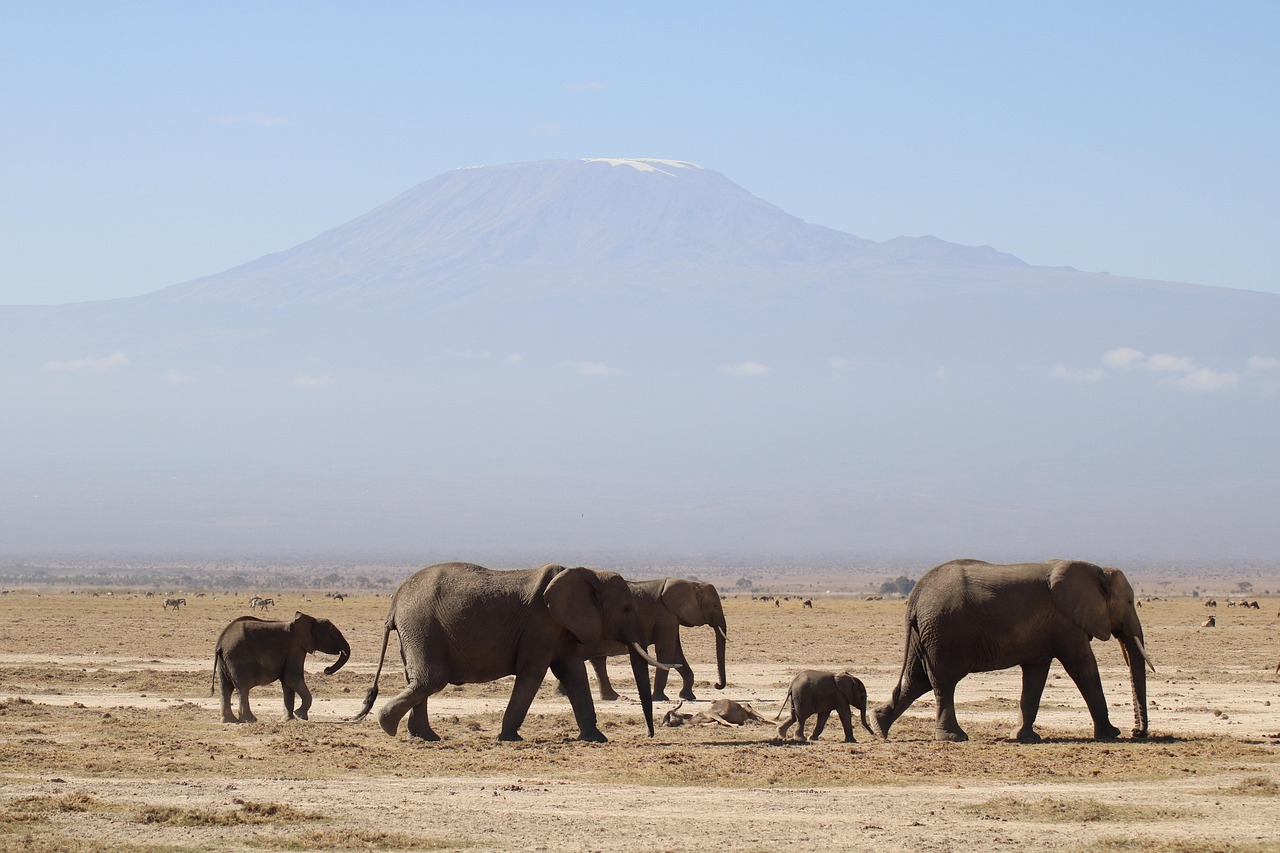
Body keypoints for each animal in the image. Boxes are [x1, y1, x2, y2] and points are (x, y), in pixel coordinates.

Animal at [212, 612, 351, 723]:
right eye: (331, 635)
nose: (326, 669)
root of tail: (220, 643)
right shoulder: (295, 648)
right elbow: (292, 679)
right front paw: (300, 715)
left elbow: (287, 683)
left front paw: (289, 719)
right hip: (238, 657)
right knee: (243, 688)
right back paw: (250, 720)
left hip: (224, 661)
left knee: (225, 688)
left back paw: (229, 721)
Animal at [352, 562, 674, 743]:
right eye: (627, 608)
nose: (649, 735)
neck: (589, 573)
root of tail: (394, 601)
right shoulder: (541, 624)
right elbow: (533, 673)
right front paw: (508, 738)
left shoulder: (559, 628)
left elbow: (574, 674)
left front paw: (596, 739)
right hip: (422, 626)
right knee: (431, 679)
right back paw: (389, 726)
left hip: (416, 631)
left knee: (419, 680)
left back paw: (426, 737)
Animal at [578, 577, 728, 702]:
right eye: (715, 605)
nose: (717, 685)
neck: (692, 584)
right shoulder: (666, 616)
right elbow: (666, 651)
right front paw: (660, 698)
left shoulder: (671, 617)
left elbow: (676, 654)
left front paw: (687, 696)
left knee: (598, 660)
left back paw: (612, 697)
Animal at [873, 558, 1153, 744]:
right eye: (1130, 602)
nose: (1137, 732)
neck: (1096, 569)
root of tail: (915, 597)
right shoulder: (1066, 624)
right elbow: (1084, 668)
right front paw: (1111, 734)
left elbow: (1035, 676)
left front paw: (1024, 737)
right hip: (943, 633)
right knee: (943, 682)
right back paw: (954, 737)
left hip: (925, 634)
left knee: (917, 680)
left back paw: (879, 726)